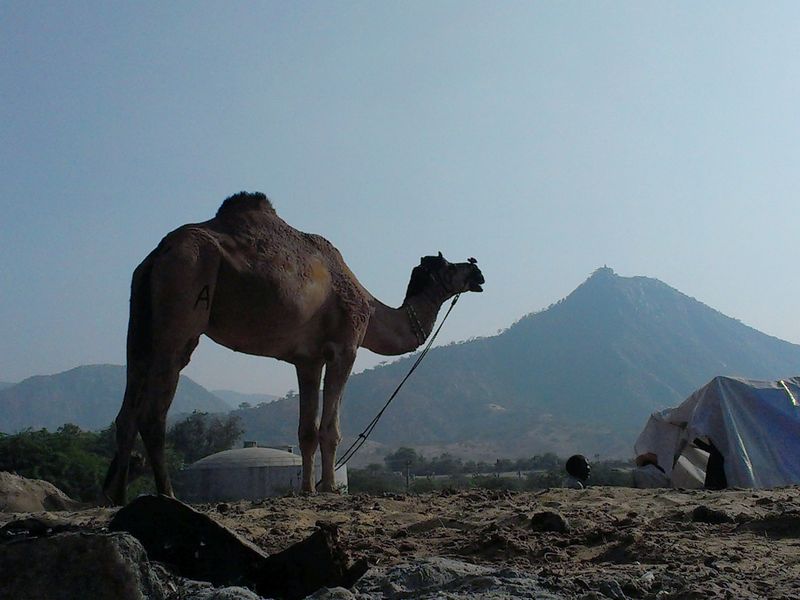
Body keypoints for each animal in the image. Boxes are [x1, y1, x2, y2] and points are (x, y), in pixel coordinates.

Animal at [100, 191, 482, 502]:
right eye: (450, 266)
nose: (477, 270)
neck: (372, 311)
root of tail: (158, 253)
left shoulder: (307, 359)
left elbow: (306, 431)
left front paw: (307, 489)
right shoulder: (344, 347)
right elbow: (330, 429)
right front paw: (329, 489)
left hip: (140, 317)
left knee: (128, 403)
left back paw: (116, 496)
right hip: (184, 293)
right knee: (155, 408)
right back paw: (167, 495)